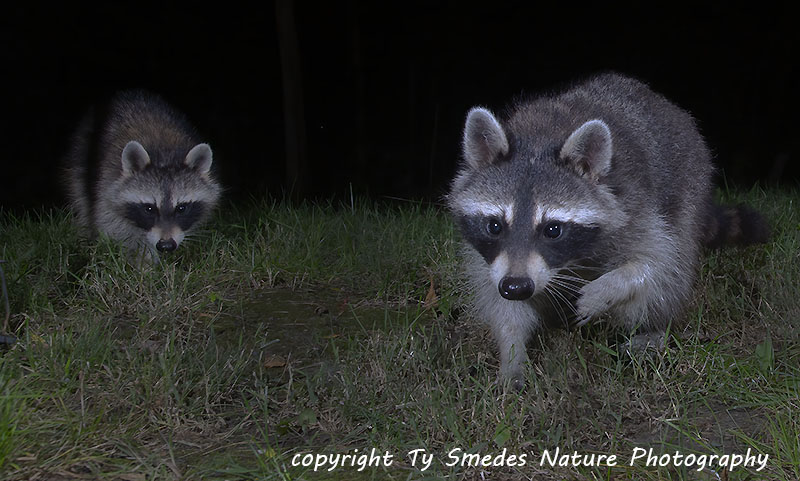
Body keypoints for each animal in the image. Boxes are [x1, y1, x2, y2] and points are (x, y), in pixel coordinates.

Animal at [65, 90, 221, 263]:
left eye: (181, 208)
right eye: (149, 208)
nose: (166, 245)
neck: (164, 155)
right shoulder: (107, 182)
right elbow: (112, 224)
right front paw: (142, 262)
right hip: (82, 149)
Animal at [448, 73, 768, 387]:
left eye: (553, 229)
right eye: (494, 226)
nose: (516, 287)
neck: (538, 140)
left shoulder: (635, 205)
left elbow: (658, 261)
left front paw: (608, 288)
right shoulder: (493, 262)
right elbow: (501, 303)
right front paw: (512, 353)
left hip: (690, 181)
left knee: (668, 279)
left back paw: (653, 328)